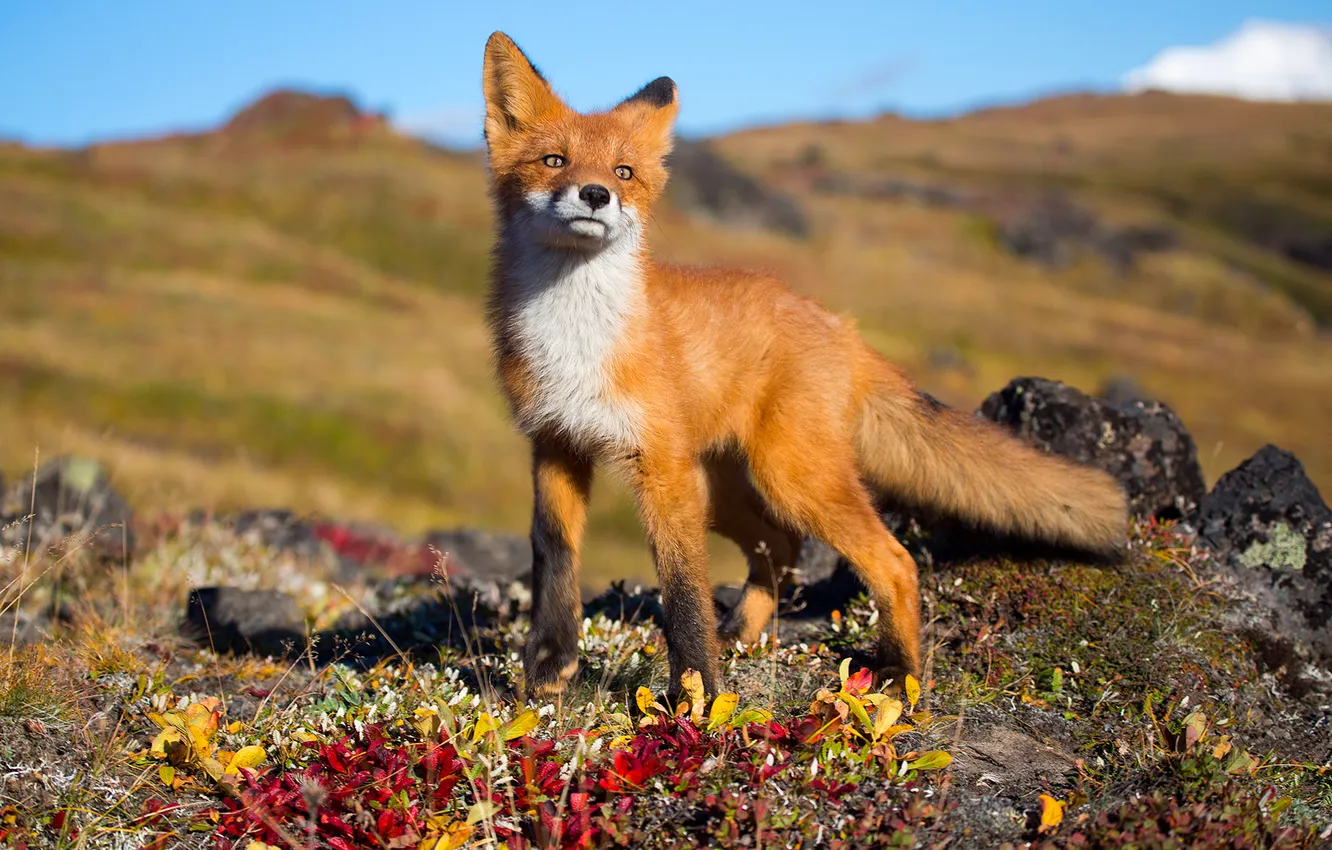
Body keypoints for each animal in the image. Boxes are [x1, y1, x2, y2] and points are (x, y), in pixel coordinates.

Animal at [479, 31, 1129, 702]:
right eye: (555, 161)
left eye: (623, 172)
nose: (596, 194)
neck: (577, 343)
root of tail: (841, 326)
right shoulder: (556, 443)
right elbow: (554, 558)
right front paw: (549, 667)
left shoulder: (659, 468)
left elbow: (682, 592)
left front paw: (698, 699)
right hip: (728, 489)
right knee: (783, 549)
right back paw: (742, 636)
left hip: (784, 478)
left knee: (894, 562)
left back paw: (899, 675)